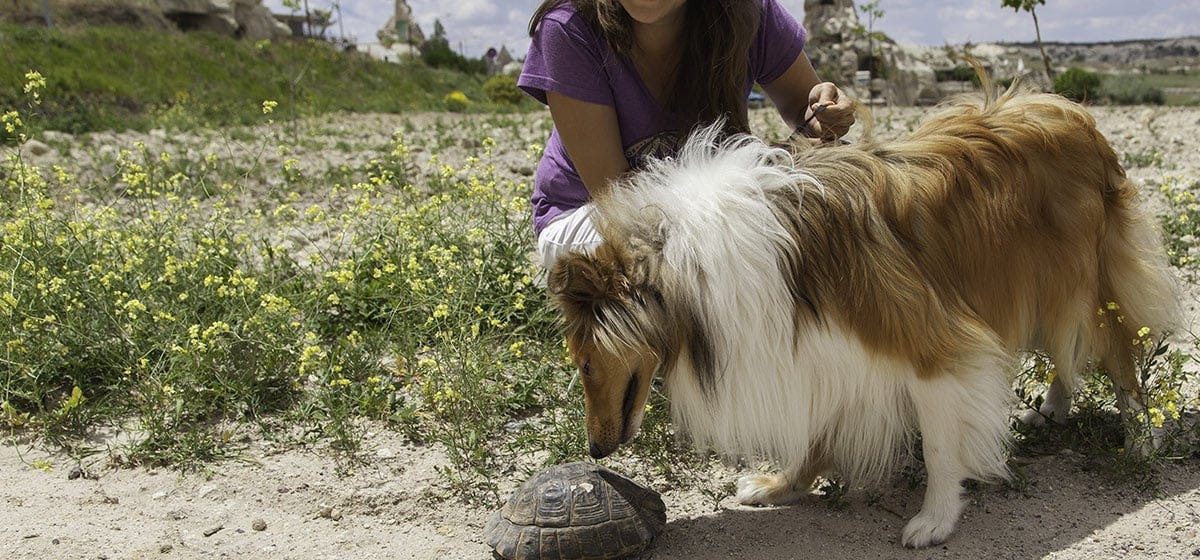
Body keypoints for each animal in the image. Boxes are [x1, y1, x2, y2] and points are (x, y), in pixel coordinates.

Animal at [549, 84, 1180, 549]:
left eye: (585, 365)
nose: (594, 453)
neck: (687, 266)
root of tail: (1074, 114)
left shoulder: (933, 343)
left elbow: (941, 445)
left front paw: (936, 519)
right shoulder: (821, 351)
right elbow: (814, 435)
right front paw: (779, 486)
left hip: (1081, 283)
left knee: (1117, 353)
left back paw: (1140, 440)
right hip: (1037, 285)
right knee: (1066, 349)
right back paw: (1052, 407)